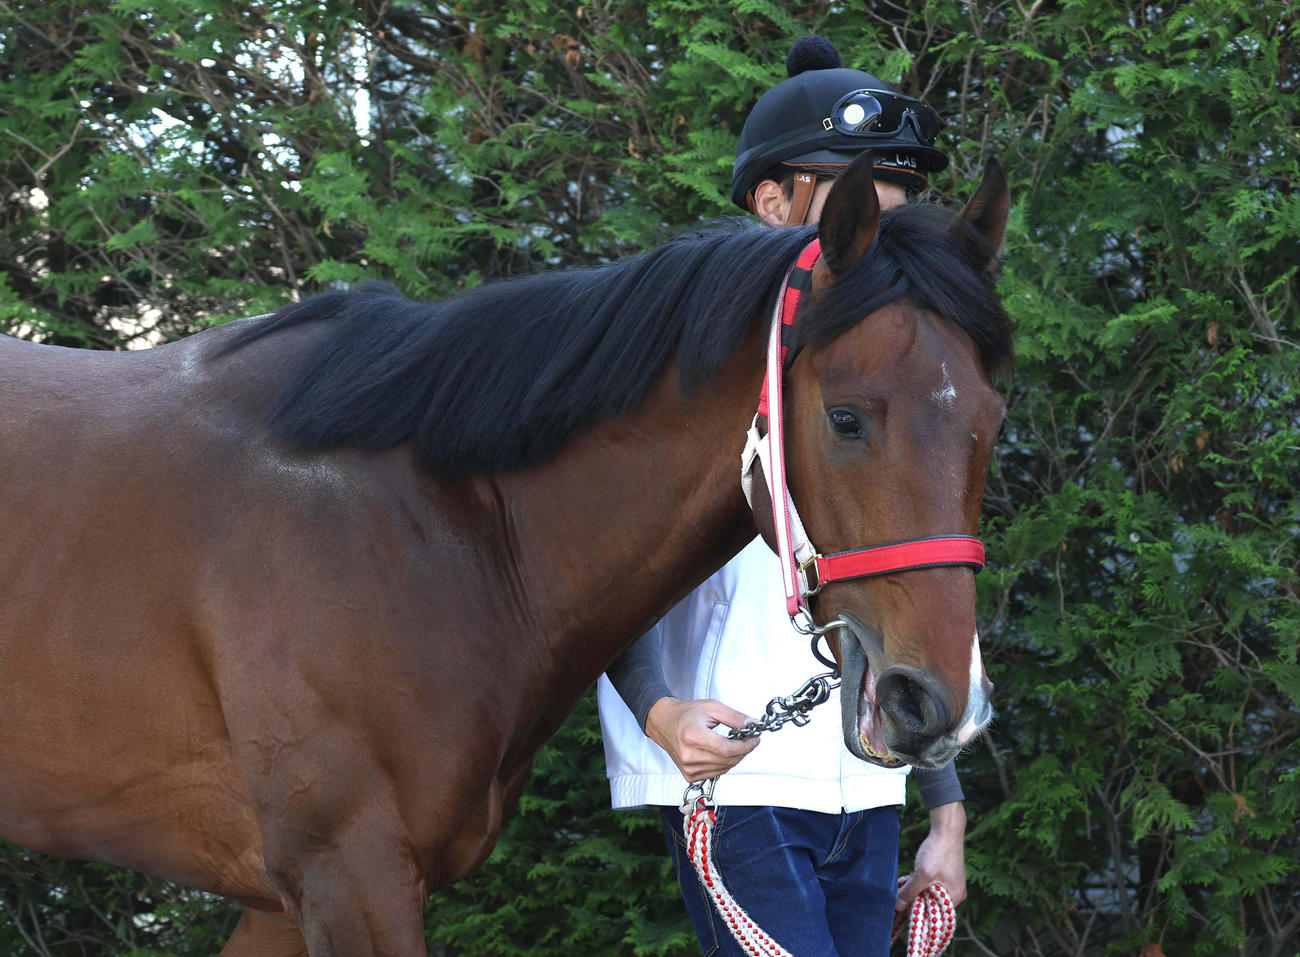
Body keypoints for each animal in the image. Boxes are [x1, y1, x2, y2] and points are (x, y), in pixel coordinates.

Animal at [0, 152, 1011, 955]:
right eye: (845, 417)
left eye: (991, 420)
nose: (937, 702)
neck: (427, 524)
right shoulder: (349, 876)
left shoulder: (287, 901)